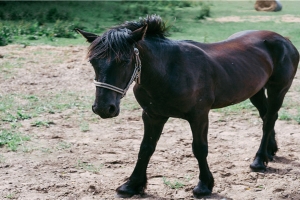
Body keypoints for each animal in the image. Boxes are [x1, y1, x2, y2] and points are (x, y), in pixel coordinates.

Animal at [76, 14, 298, 198]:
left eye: (124, 60)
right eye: (93, 62)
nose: (103, 108)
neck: (169, 70)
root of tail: (285, 40)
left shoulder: (199, 115)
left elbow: (199, 148)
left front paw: (204, 186)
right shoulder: (152, 115)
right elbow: (145, 148)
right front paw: (132, 185)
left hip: (278, 89)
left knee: (269, 120)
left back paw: (259, 161)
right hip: (256, 91)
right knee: (266, 116)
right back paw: (270, 151)